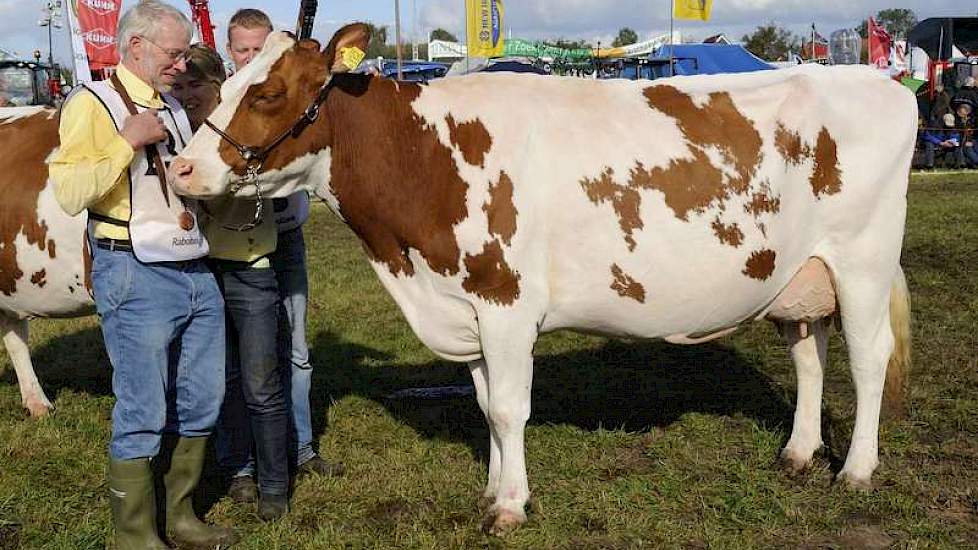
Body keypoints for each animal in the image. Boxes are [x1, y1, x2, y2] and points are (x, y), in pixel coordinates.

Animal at [170, 27, 916, 536]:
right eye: (224, 84)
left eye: (267, 92)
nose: (180, 169)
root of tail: (877, 82)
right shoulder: (466, 304)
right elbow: (486, 409)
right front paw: (496, 488)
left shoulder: (504, 300)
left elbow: (507, 409)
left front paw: (507, 506)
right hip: (801, 274)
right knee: (809, 355)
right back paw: (798, 454)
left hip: (863, 260)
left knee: (867, 357)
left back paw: (855, 470)